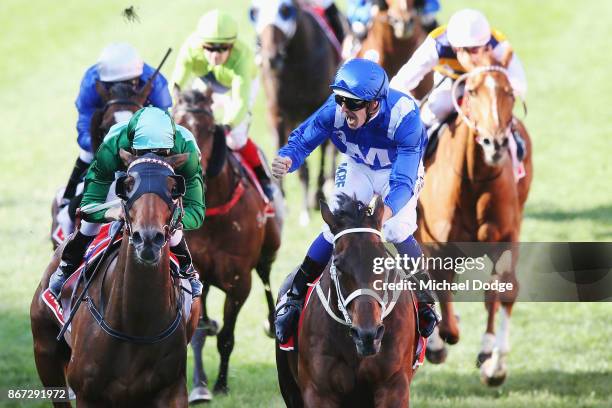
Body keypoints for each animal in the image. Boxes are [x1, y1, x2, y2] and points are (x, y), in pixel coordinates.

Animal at [32, 151, 201, 406]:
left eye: (173, 188)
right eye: (128, 185)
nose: (148, 238)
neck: (135, 325)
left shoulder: (171, 390)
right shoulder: (87, 394)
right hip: (45, 352)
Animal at [172, 89, 282, 402]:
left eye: (210, 129)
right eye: (175, 124)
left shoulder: (238, 281)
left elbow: (227, 338)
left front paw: (221, 384)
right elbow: (196, 331)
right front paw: (199, 386)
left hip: (269, 247)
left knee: (266, 274)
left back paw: (273, 321)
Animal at [252, 0, 340, 225]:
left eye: (285, 10)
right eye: (255, 11)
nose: (271, 58)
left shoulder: (319, 110)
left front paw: (316, 197)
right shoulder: (278, 114)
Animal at [414, 51, 532, 386]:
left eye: (509, 92)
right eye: (474, 91)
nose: (496, 144)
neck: (473, 177)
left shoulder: (506, 237)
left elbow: (504, 290)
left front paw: (494, 360)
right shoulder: (436, 246)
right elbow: (439, 295)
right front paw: (439, 341)